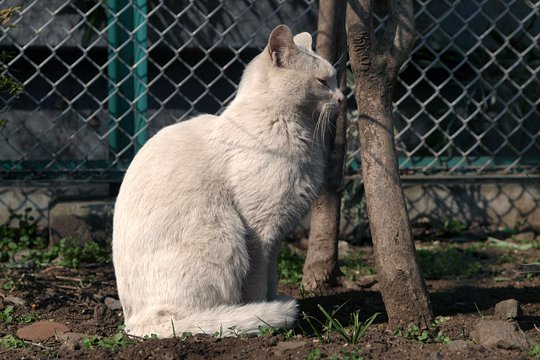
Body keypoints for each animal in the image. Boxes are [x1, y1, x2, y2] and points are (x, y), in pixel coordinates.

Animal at [112, 25, 344, 338]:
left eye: (335, 79)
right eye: (322, 82)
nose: (342, 97)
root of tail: (134, 323)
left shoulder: (276, 238)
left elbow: (271, 280)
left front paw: (271, 306)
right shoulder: (260, 234)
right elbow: (257, 285)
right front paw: (264, 316)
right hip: (224, 235)